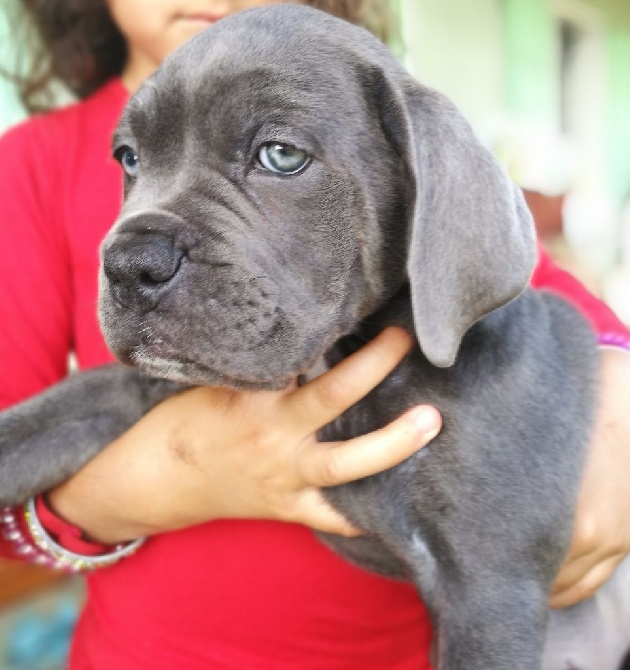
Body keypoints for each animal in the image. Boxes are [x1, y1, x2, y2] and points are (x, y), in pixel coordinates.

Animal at [1, 5, 630, 670]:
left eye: (280, 155)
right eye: (128, 159)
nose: (128, 264)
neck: (346, 361)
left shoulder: (490, 592)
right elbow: (58, 411)